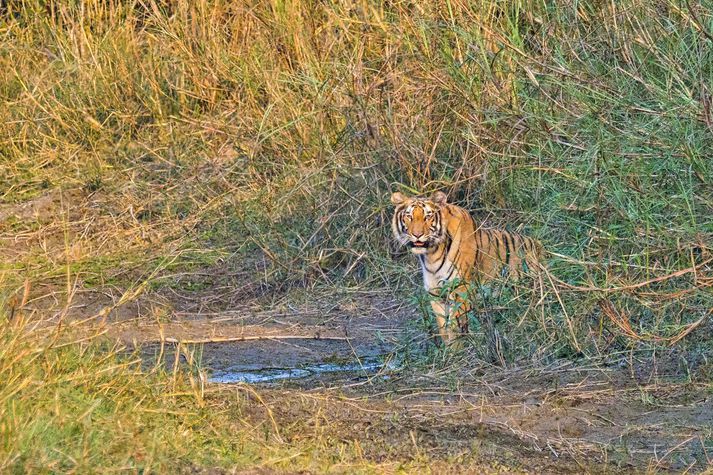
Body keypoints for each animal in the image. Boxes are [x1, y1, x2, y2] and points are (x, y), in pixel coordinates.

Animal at [390, 190, 540, 350]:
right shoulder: (436, 294)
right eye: (409, 216)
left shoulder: (460, 288)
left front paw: (457, 349)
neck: (431, 255)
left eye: (428, 216)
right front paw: (448, 351)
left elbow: (455, 324)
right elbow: (443, 327)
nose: (417, 235)